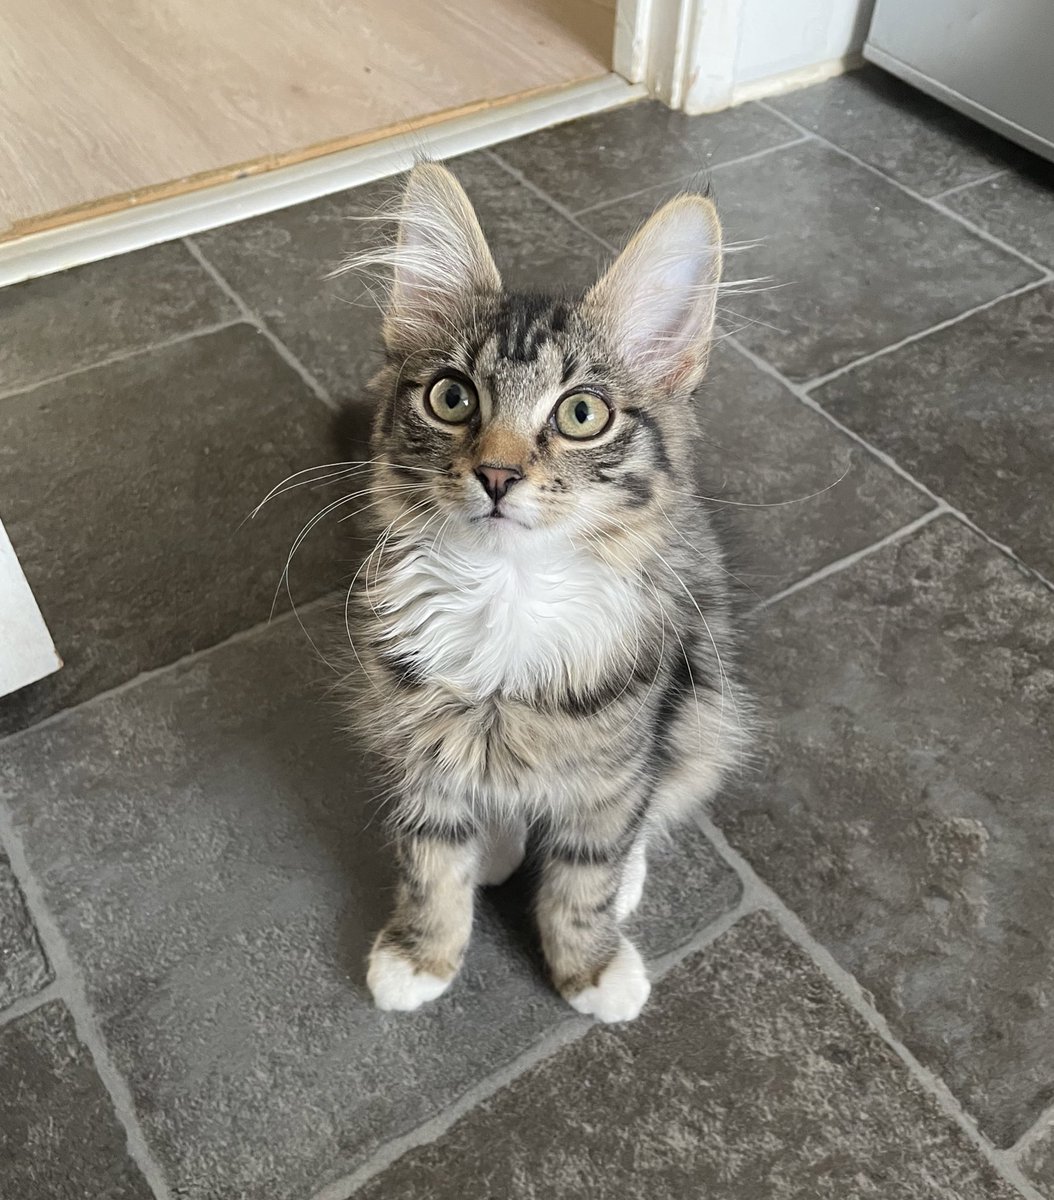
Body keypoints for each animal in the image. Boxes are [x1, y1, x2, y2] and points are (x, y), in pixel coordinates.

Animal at [345, 159, 749, 1022]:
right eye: (453, 397)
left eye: (582, 413)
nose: (497, 475)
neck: (507, 594)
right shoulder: (420, 746)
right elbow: (431, 863)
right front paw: (422, 955)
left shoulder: (620, 749)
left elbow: (584, 874)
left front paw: (591, 969)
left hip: (704, 706)